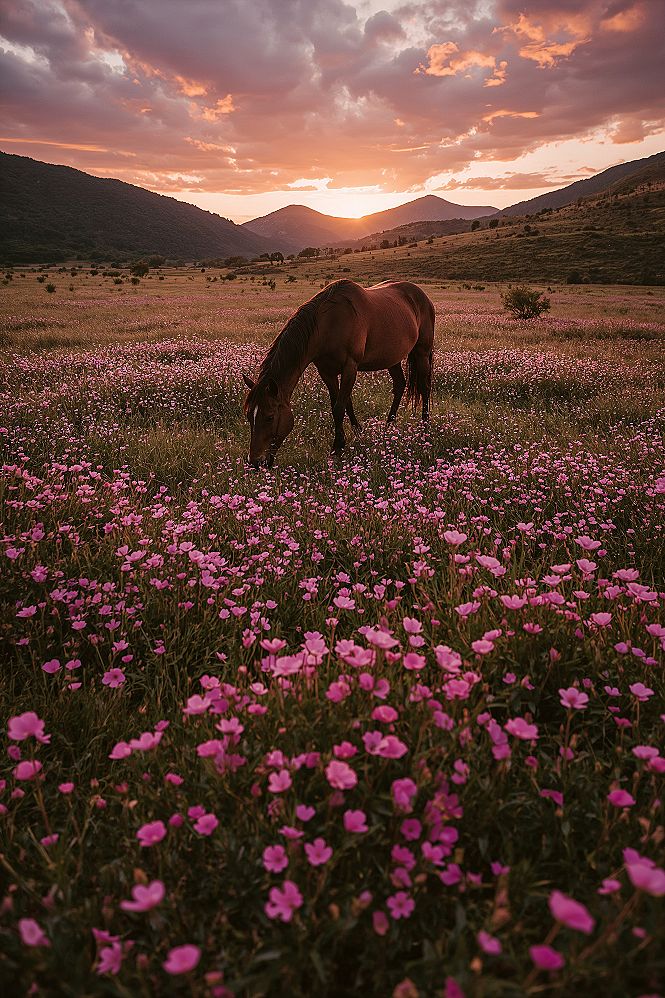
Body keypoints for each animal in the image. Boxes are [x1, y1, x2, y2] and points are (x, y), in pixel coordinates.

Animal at [243, 279, 435, 468]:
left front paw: (337, 447)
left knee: (425, 387)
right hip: (391, 358)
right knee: (400, 385)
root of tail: (423, 296)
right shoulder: (326, 371)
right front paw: (356, 433)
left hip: (422, 352)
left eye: (270, 417)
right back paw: (389, 425)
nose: (255, 462)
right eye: (249, 416)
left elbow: (339, 407)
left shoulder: (350, 366)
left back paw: (425, 426)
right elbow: (341, 403)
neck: (329, 323)